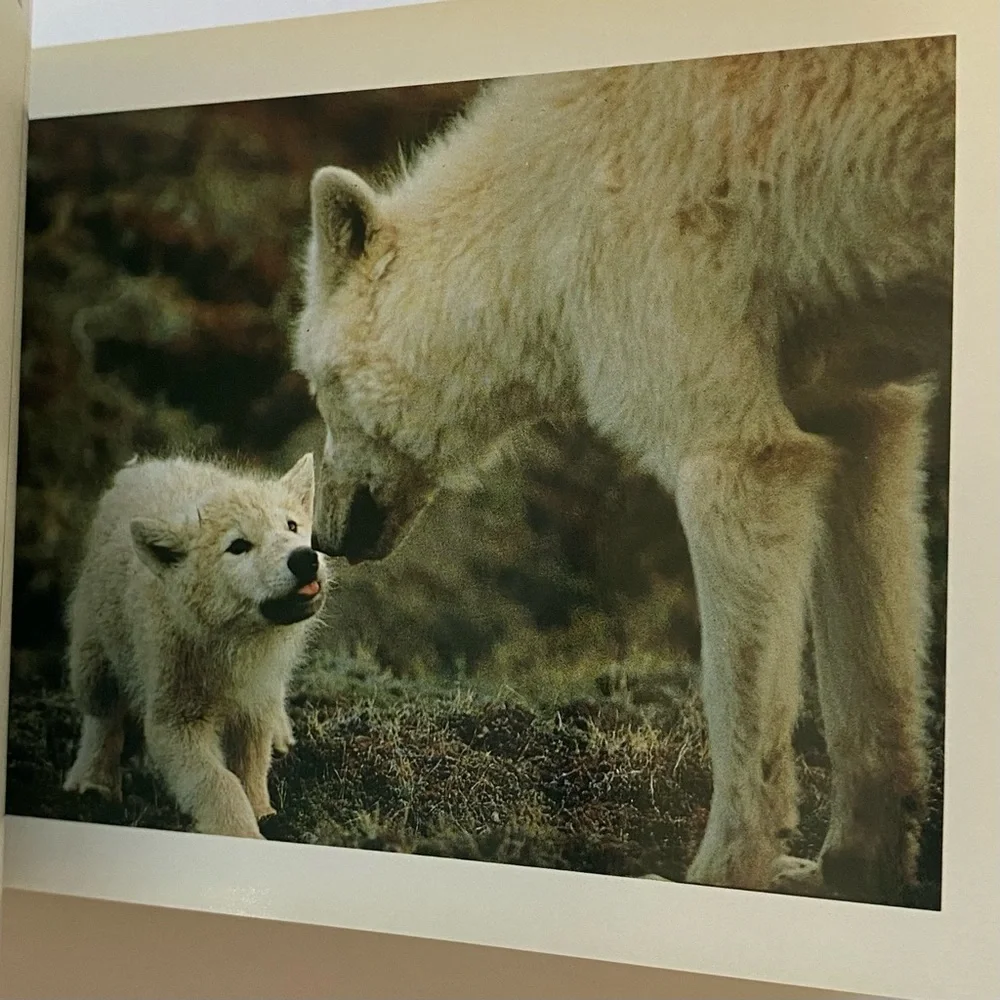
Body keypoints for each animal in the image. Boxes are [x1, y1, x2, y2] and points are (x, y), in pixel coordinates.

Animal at [63, 452, 331, 839]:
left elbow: (251, 762)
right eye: (238, 546)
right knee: (102, 714)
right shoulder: (175, 716)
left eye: (291, 526)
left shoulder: (253, 696)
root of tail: (145, 465)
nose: (304, 558)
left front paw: (263, 811)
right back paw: (93, 783)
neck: (233, 641)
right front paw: (242, 832)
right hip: (95, 648)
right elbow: (217, 781)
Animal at [291, 38, 955, 900]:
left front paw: (721, 873)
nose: (327, 537)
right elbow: (870, 669)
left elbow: (739, 695)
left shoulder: (718, 417)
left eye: (317, 384)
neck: (545, 209)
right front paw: (851, 870)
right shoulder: (860, 396)